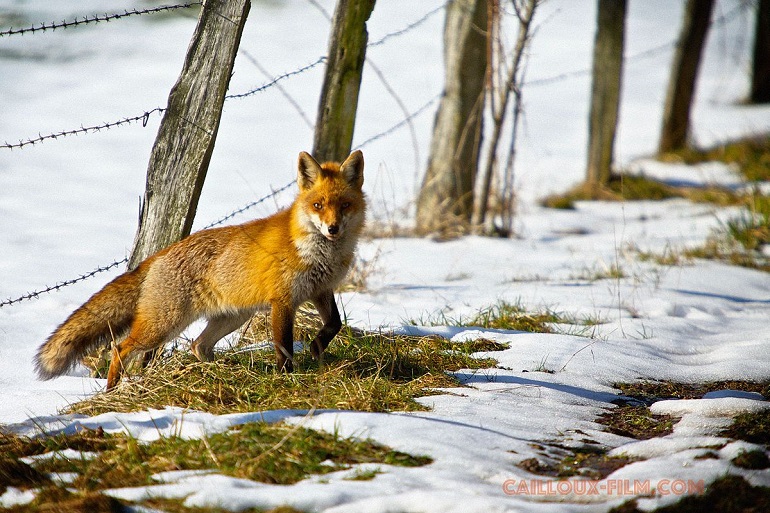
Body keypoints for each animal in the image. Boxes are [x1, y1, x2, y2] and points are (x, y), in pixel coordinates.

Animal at [35, 150, 366, 390]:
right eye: (318, 205)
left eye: (344, 205)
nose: (332, 229)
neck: (319, 252)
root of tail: (158, 255)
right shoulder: (283, 301)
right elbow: (283, 347)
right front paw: (287, 379)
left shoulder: (320, 289)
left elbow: (334, 324)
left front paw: (317, 348)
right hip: (164, 326)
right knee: (120, 348)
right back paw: (112, 389)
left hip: (231, 317)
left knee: (198, 345)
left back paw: (215, 372)